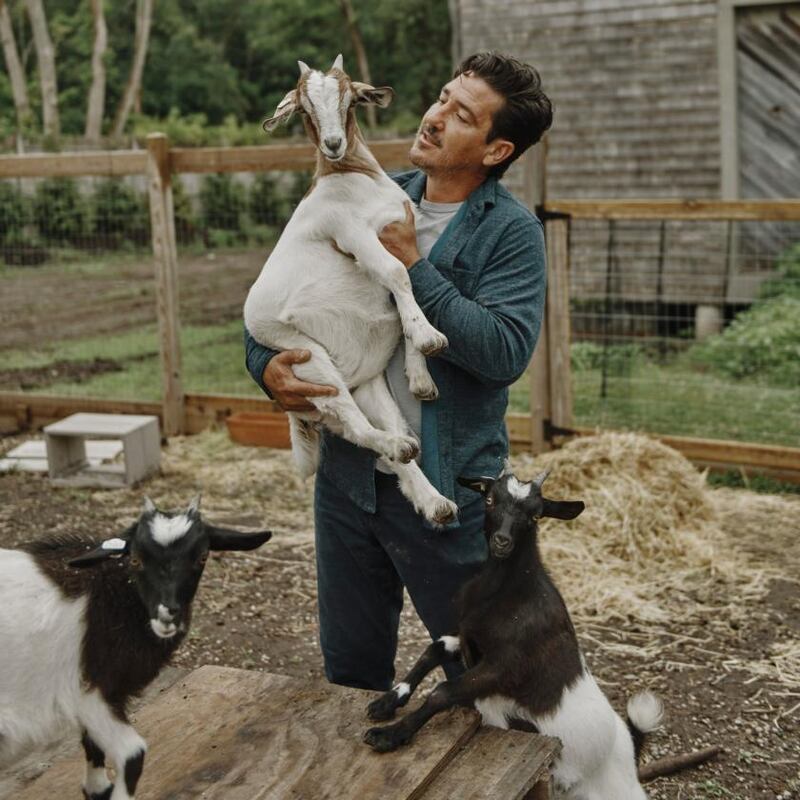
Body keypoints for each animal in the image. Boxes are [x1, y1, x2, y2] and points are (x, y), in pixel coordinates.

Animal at [0, 495, 271, 800]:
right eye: (136, 559)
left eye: (202, 557)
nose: (167, 614)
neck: (111, 592)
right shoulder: (89, 690)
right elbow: (132, 755)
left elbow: (93, 746)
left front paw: (97, 788)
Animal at [362, 467, 663, 799]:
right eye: (490, 499)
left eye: (535, 515)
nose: (502, 541)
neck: (507, 594)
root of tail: (629, 752)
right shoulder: (467, 637)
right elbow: (433, 650)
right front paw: (386, 703)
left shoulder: (503, 666)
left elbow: (443, 691)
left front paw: (389, 736)